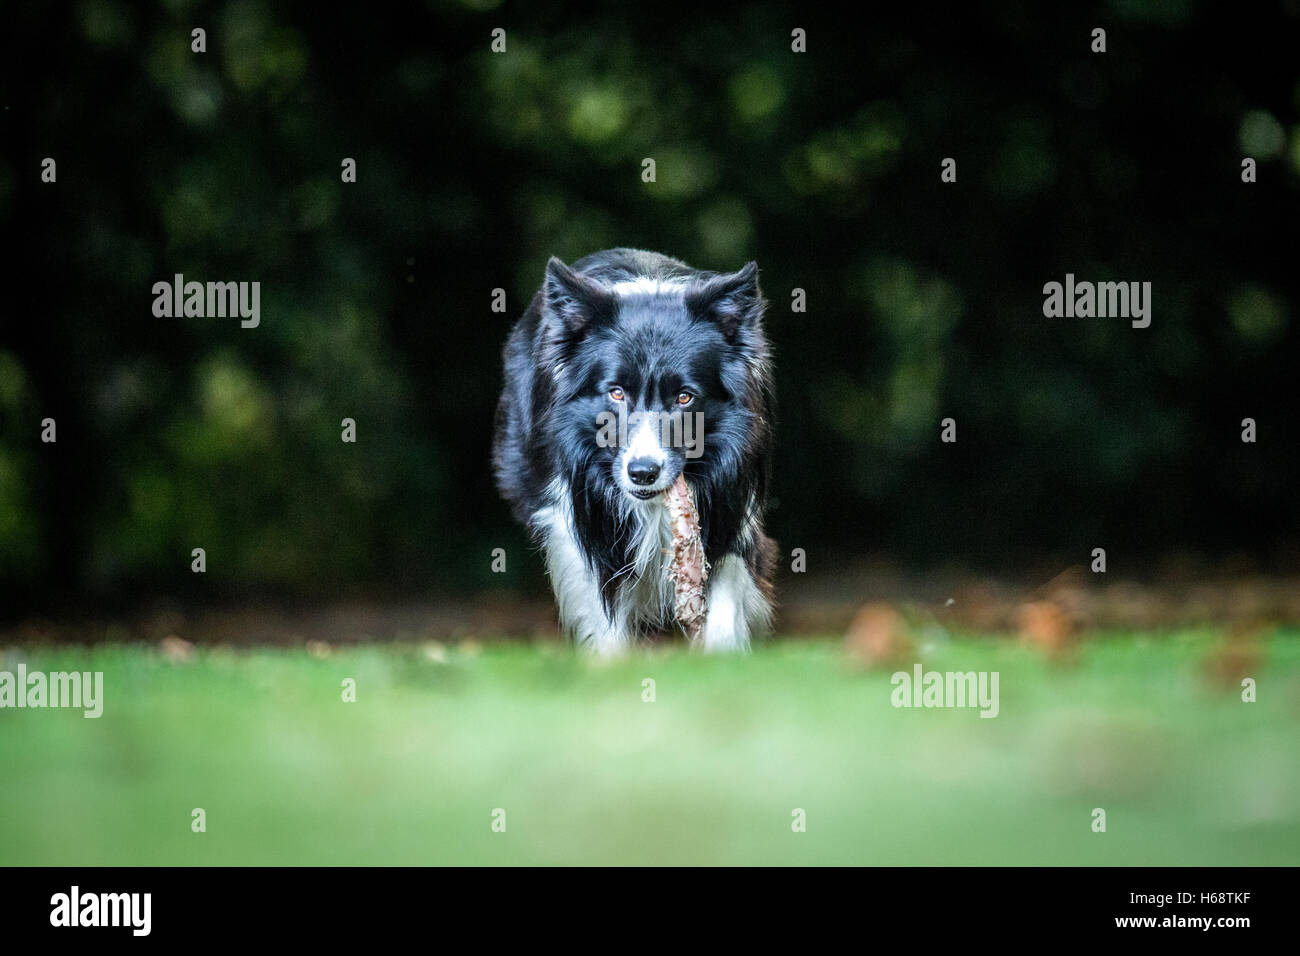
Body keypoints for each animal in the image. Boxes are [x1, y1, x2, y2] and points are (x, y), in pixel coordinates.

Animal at [488, 247, 769, 655]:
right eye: (617, 392)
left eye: (684, 397)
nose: (643, 473)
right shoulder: (573, 517)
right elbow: (602, 610)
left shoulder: (735, 507)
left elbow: (729, 579)